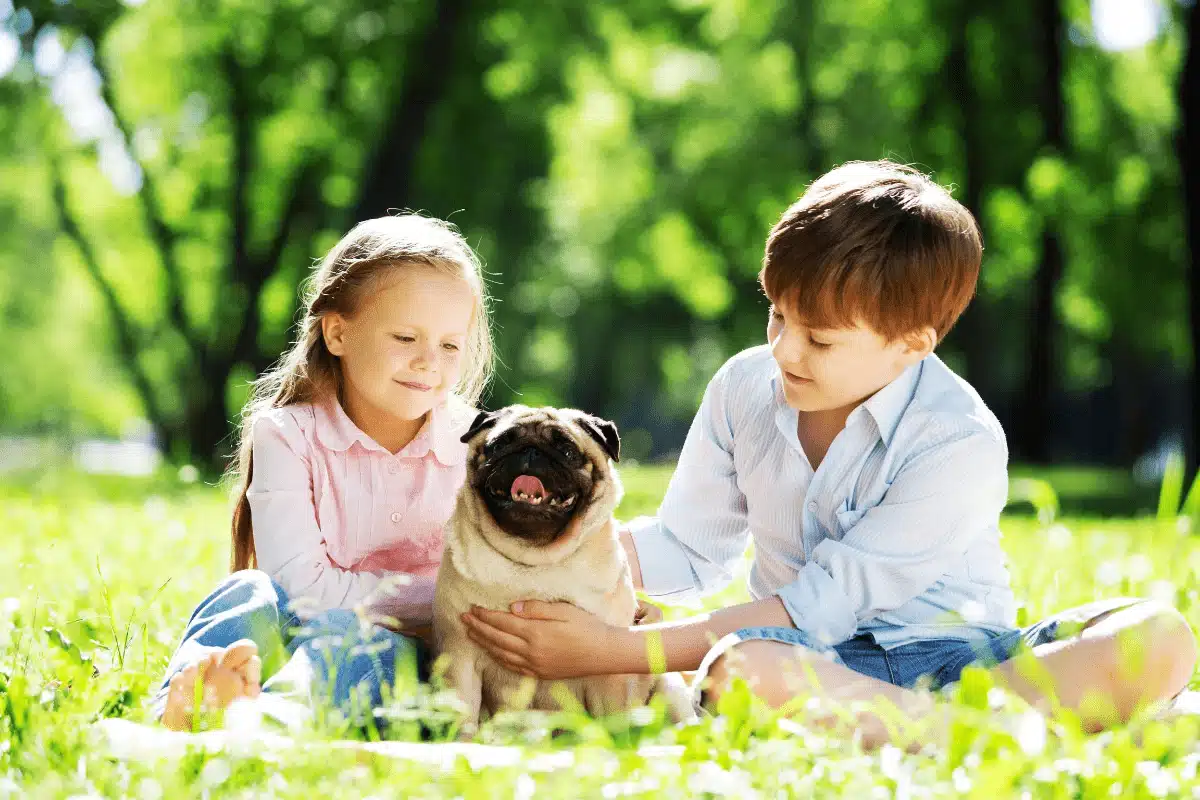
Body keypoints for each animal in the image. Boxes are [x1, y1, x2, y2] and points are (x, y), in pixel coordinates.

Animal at [436, 402, 691, 729]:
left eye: (567, 451)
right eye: (500, 445)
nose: (531, 451)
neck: (535, 560)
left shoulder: (609, 675)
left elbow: (613, 721)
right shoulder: (459, 660)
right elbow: (462, 718)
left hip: (670, 689)